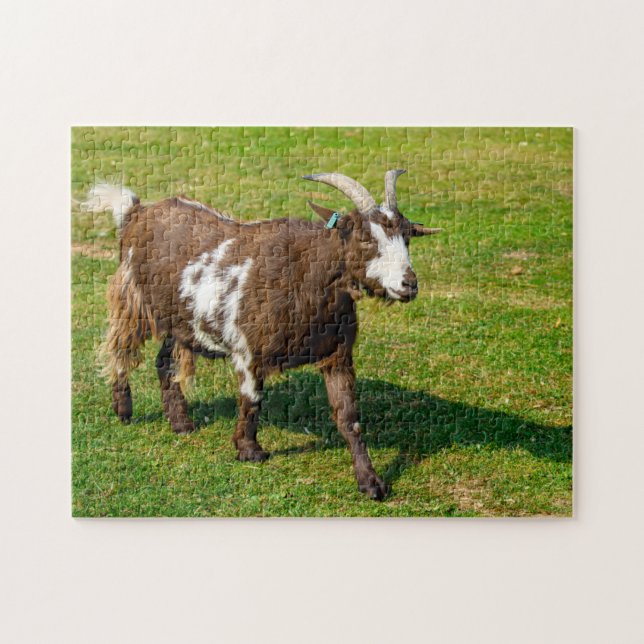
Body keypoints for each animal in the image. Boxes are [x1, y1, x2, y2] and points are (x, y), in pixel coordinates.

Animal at [84, 171, 440, 500]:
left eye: (408, 237)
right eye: (365, 238)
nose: (409, 284)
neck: (305, 276)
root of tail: (136, 211)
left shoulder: (337, 355)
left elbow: (349, 417)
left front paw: (371, 482)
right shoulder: (248, 351)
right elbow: (252, 400)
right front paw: (248, 450)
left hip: (181, 320)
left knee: (164, 361)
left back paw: (181, 423)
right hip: (132, 297)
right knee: (120, 349)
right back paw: (123, 410)